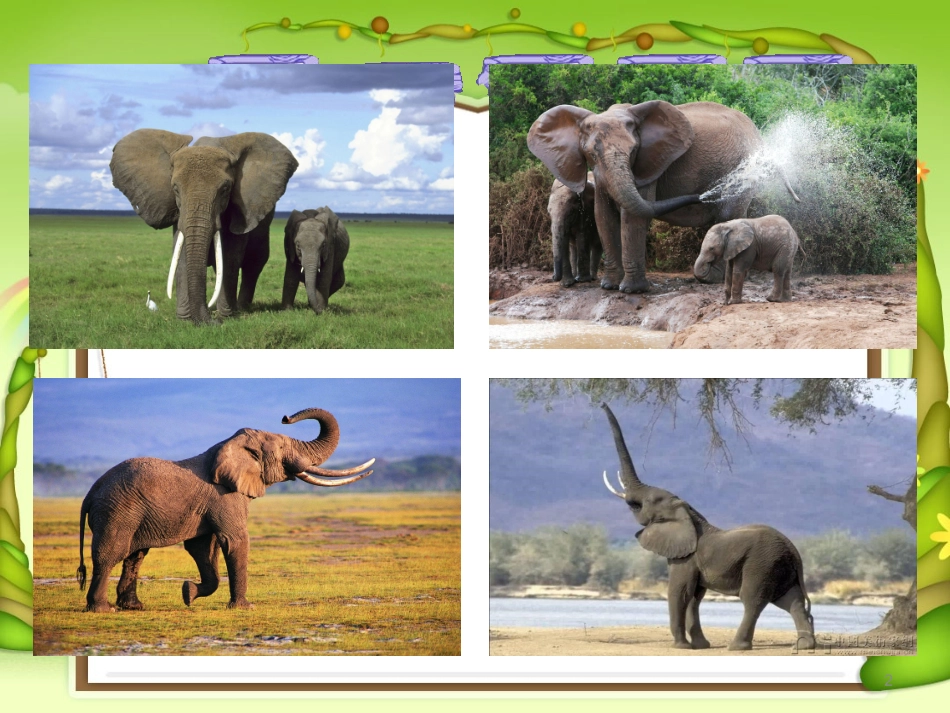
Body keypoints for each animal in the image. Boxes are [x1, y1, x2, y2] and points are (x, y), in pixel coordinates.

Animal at [76, 408, 374, 613]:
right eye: (282, 447)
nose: (285, 416)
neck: (230, 445)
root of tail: (90, 493)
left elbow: (202, 549)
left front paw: (188, 593)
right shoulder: (226, 497)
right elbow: (235, 541)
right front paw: (244, 607)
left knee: (135, 556)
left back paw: (133, 607)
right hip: (117, 511)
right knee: (110, 553)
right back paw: (103, 609)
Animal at [110, 129, 299, 324]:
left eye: (225, 189)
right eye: (175, 189)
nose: (211, 320)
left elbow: (230, 256)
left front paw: (225, 316)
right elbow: (181, 254)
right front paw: (184, 319)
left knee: (254, 262)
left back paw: (240, 308)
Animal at [527, 101, 801, 293]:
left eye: (633, 151)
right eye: (591, 153)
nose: (702, 195)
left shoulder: (647, 165)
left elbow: (632, 215)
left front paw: (631, 291)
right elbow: (603, 215)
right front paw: (609, 287)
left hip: (744, 169)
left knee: (728, 214)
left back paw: (711, 278)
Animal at [599, 403, 816, 651]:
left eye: (644, 503)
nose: (602, 404)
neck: (688, 513)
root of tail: (794, 552)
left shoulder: (685, 557)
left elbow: (680, 592)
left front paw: (681, 647)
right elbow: (694, 596)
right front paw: (700, 646)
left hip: (763, 563)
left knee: (753, 599)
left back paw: (737, 647)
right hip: (780, 567)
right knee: (791, 600)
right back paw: (804, 646)